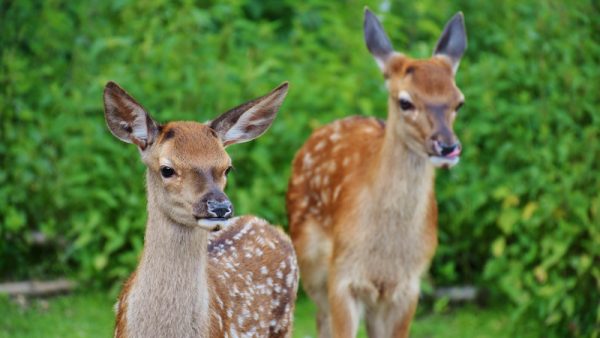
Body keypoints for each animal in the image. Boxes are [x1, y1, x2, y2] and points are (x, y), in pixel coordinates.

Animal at [286, 7, 468, 338]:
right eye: (405, 101)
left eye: (458, 101)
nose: (448, 146)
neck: (385, 256)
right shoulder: (343, 276)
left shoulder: (408, 286)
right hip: (310, 261)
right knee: (321, 319)